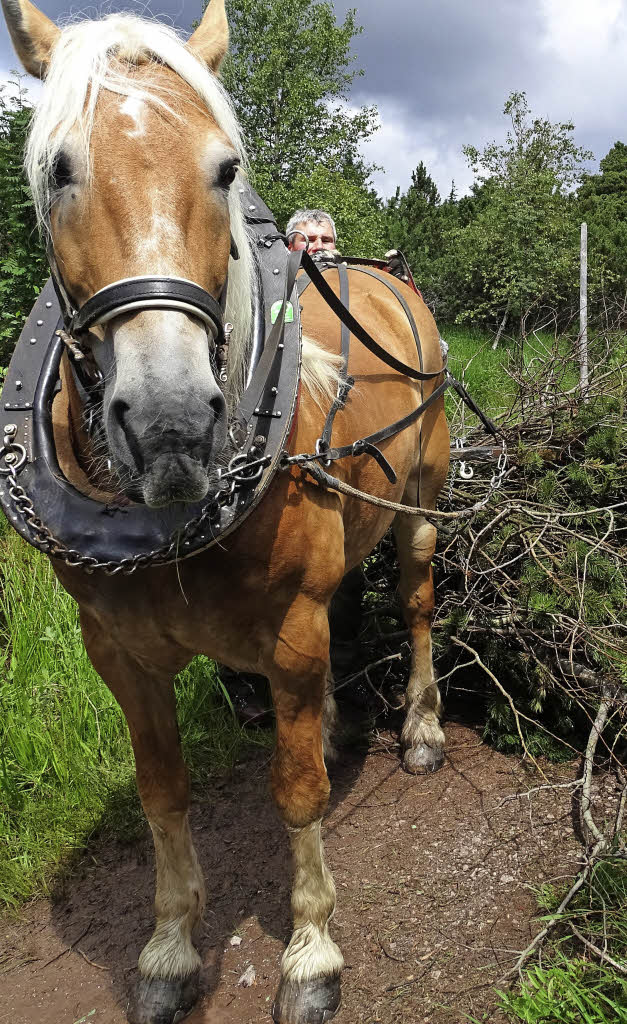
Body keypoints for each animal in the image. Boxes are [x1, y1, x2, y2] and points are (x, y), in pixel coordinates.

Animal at [1, 0, 450, 1019]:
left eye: (224, 167)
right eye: (57, 169)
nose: (171, 422)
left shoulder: (288, 626)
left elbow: (297, 792)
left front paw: (312, 954)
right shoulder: (117, 651)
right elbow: (162, 793)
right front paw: (169, 948)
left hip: (420, 500)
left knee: (413, 602)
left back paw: (419, 728)